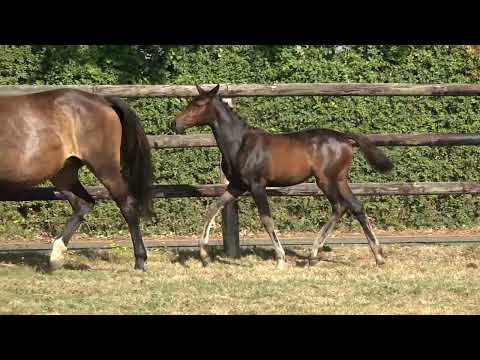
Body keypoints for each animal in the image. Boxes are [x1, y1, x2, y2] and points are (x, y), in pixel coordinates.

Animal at [0, 88, 153, 272]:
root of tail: (103, 100)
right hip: (64, 174)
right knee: (84, 203)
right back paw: (56, 257)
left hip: (104, 167)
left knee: (127, 205)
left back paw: (140, 262)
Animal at [172, 86, 394, 268]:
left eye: (198, 104)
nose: (174, 123)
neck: (240, 144)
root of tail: (345, 138)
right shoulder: (236, 186)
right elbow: (212, 208)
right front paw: (204, 255)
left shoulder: (257, 186)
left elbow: (266, 219)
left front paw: (280, 258)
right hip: (340, 179)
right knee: (356, 207)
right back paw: (378, 256)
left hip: (325, 181)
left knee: (340, 206)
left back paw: (313, 254)